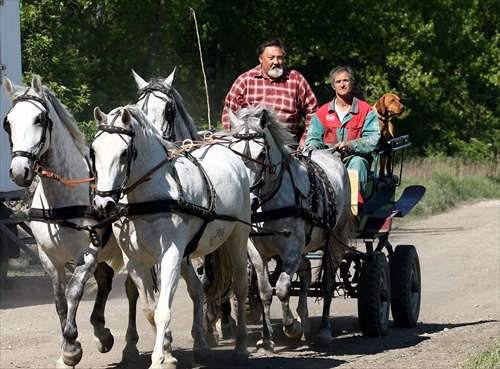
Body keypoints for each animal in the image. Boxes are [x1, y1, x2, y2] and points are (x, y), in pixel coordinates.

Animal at [2, 74, 144, 366]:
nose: (19, 171)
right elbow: (58, 299)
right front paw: (68, 348)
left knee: (131, 289)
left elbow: (73, 291)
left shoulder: (87, 252)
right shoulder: (48, 257)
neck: (62, 198)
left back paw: (130, 344)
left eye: (39, 119)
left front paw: (71, 347)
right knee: (106, 278)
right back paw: (102, 332)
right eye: (8, 122)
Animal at [91, 104, 250, 368]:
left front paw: (158, 359)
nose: (103, 203)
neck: (148, 199)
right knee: (197, 290)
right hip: (186, 256)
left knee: (240, 287)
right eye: (94, 150)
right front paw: (167, 352)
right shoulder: (135, 262)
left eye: (124, 153)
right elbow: (149, 309)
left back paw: (241, 348)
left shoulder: (170, 256)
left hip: (238, 237)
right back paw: (201, 347)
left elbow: (162, 311)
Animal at [228, 105, 356, 350]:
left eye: (261, 154)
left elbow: (283, 287)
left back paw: (323, 332)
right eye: (234, 153)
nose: (248, 200)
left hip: (334, 240)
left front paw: (291, 327)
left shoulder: (293, 246)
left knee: (327, 284)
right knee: (305, 271)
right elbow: (265, 291)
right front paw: (266, 338)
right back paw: (305, 320)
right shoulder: (256, 250)